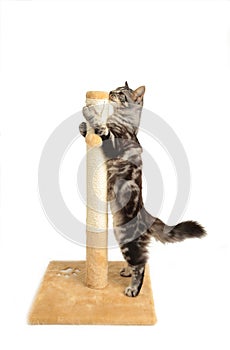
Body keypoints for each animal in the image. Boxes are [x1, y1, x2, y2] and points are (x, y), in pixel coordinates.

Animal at [79, 82, 207, 298]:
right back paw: (126, 271)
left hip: (126, 239)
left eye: (121, 93)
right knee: (138, 263)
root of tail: (147, 215)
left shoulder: (113, 141)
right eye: (115, 89)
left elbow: (101, 127)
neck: (122, 120)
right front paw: (82, 126)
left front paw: (89, 112)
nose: (111, 93)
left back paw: (133, 289)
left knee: (141, 264)